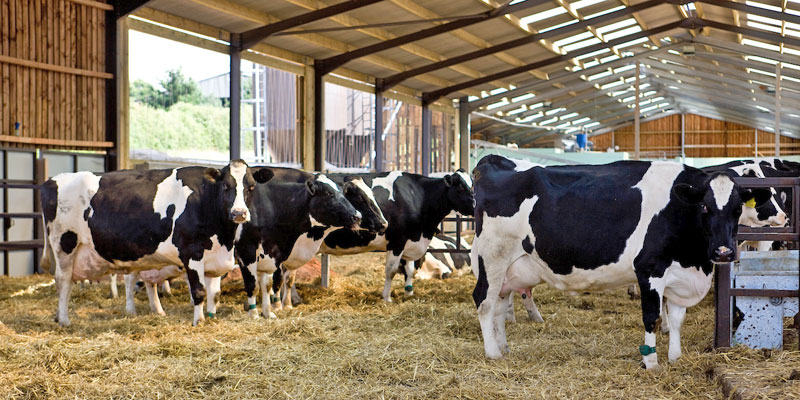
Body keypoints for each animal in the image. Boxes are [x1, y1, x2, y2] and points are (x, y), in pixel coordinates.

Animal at [41, 159, 276, 324]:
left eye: (251, 187)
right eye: (226, 186)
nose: (239, 213)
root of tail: (53, 180)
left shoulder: (213, 256)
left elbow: (213, 292)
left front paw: (209, 317)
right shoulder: (192, 251)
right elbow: (198, 291)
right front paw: (198, 321)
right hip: (65, 245)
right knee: (63, 281)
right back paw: (64, 320)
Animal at [236, 178, 360, 318]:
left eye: (343, 192)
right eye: (328, 193)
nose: (357, 216)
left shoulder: (271, 255)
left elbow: (269, 284)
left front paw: (269, 312)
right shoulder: (246, 253)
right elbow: (254, 285)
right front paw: (254, 314)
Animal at [320, 170, 476, 302]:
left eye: (472, 186)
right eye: (461, 187)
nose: (476, 206)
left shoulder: (410, 240)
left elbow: (410, 270)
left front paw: (409, 292)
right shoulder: (397, 241)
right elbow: (391, 271)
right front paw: (386, 298)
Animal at [472, 155, 772, 368]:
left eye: (737, 209)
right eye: (704, 207)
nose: (723, 252)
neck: (695, 260)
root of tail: (491, 162)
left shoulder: (680, 275)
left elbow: (676, 320)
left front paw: (675, 357)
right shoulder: (649, 269)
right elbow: (652, 317)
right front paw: (651, 362)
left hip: (510, 268)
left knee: (499, 304)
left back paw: (503, 347)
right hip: (493, 257)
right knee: (484, 302)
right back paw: (492, 353)